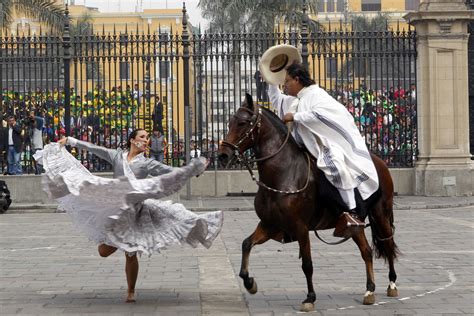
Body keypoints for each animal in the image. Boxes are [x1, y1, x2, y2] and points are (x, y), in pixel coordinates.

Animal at [218, 94, 400, 312]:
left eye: (243, 123)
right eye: (229, 122)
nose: (222, 155)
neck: (284, 173)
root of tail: (380, 162)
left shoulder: (300, 228)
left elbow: (307, 264)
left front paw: (310, 298)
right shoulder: (270, 224)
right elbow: (246, 244)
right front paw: (249, 282)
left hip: (381, 214)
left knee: (387, 243)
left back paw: (392, 284)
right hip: (356, 227)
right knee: (366, 251)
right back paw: (370, 290)